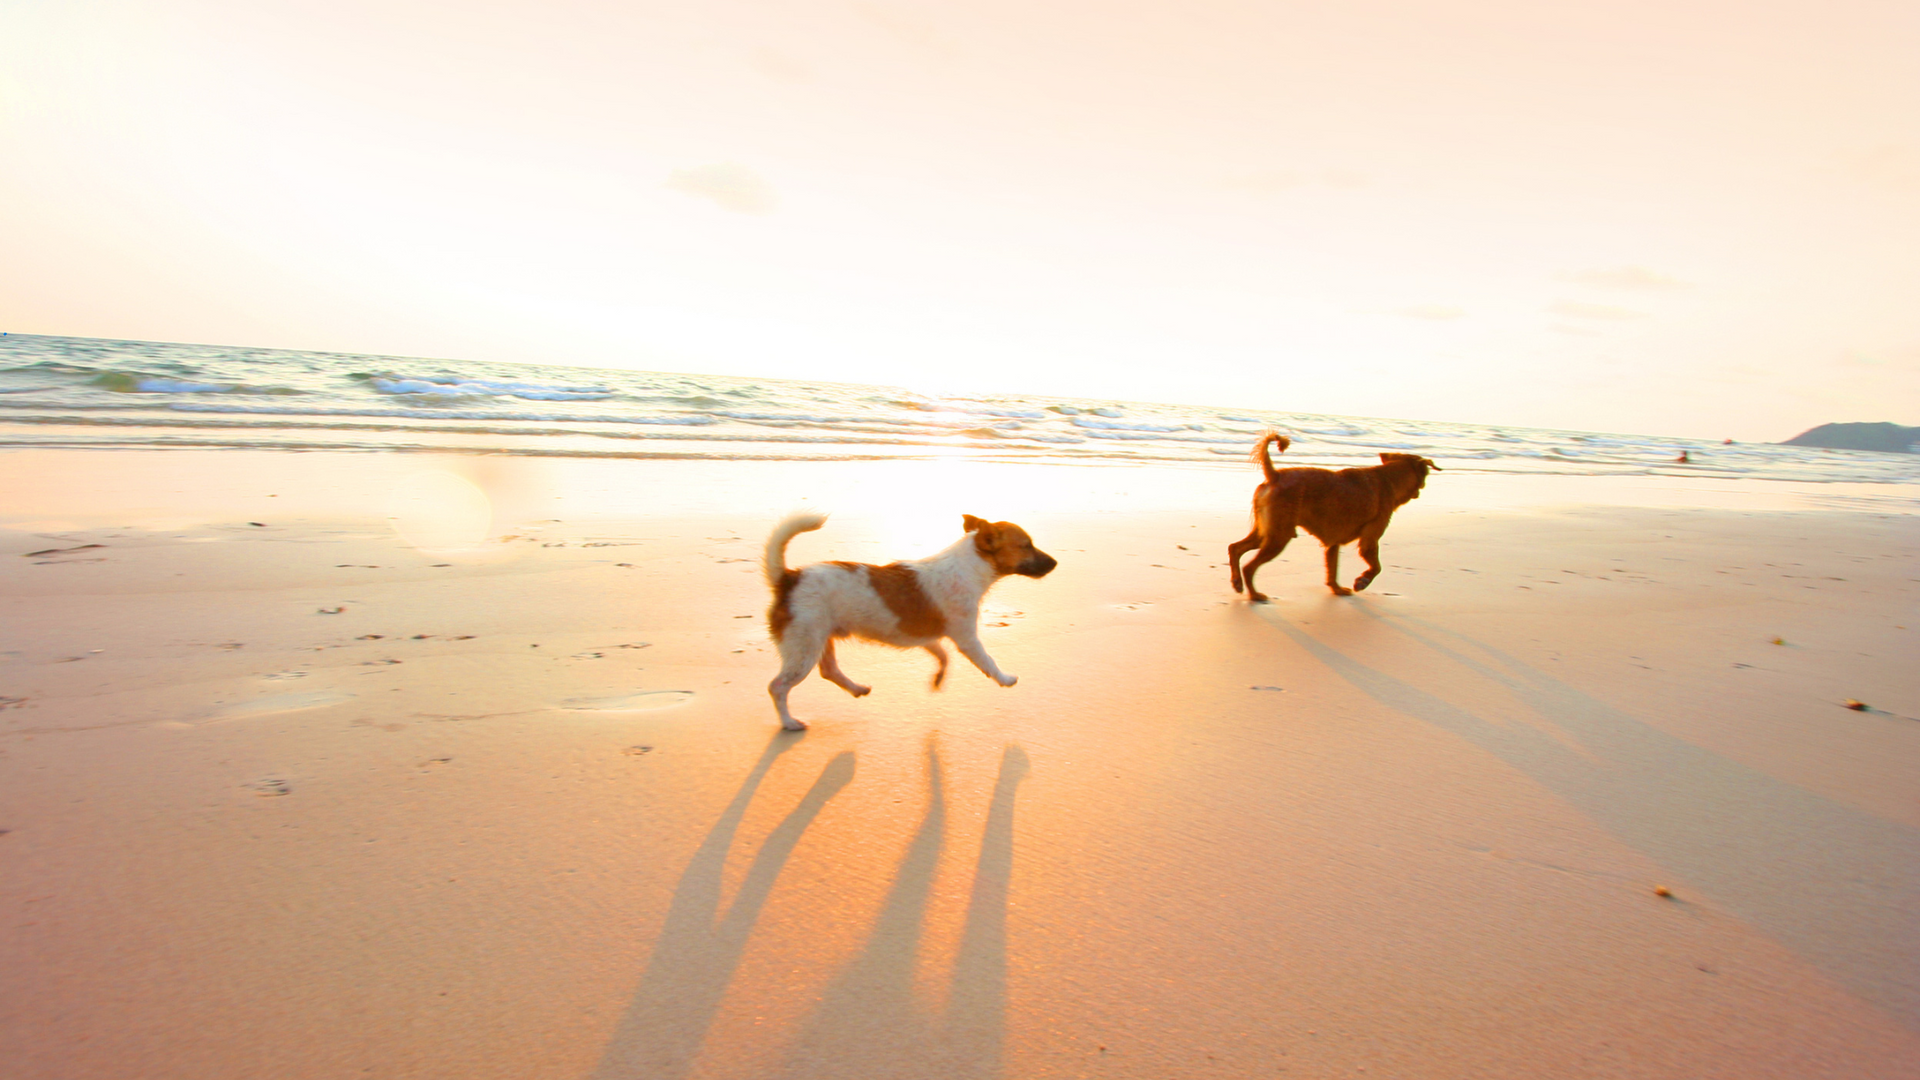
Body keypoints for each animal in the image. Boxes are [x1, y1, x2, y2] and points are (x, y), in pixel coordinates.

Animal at [760, 507, 1059, 726]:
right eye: (1027, 545)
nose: (1056, 563)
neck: (968, 566)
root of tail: (788, 578)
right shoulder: (967, 639)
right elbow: (987, 661)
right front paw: (1004, 679)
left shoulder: (927, 638)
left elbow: (943, 656)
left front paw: (938, 678)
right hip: (803, 649)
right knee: (777, 687)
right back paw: (789, 722)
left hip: (820, 640)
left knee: (829, 670)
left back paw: (856, 688)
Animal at [1228, 428, 1443, 595]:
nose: (1421, 488)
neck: (1389, 479)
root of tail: (1275, 475)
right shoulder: (1369, 541)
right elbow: (1376, 567)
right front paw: (1362, 581)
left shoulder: (1334, 542)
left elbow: (1332, 569)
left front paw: (1337, 589)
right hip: (1278, 536)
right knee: (1249, 566)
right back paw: (1255, 595)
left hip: (1266, 532)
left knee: (1235, 548)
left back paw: (1238, 583)